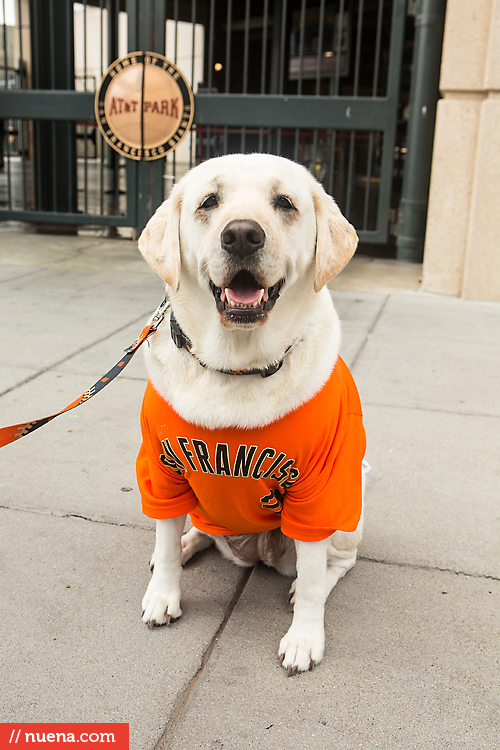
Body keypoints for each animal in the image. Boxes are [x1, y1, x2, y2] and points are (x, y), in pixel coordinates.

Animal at [137, 153, 368, 676]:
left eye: (285, 202)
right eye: (209, 202)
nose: (242, 234)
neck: (236, 367)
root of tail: (254, 554)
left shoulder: (318, 491)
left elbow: (314, 578)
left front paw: (305, 637)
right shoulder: (162, 472)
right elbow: (163, 536)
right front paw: (163, 591)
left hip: (349, 509)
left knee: (334, 565)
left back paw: (307, 583)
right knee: (198, 532)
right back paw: (187, 544)